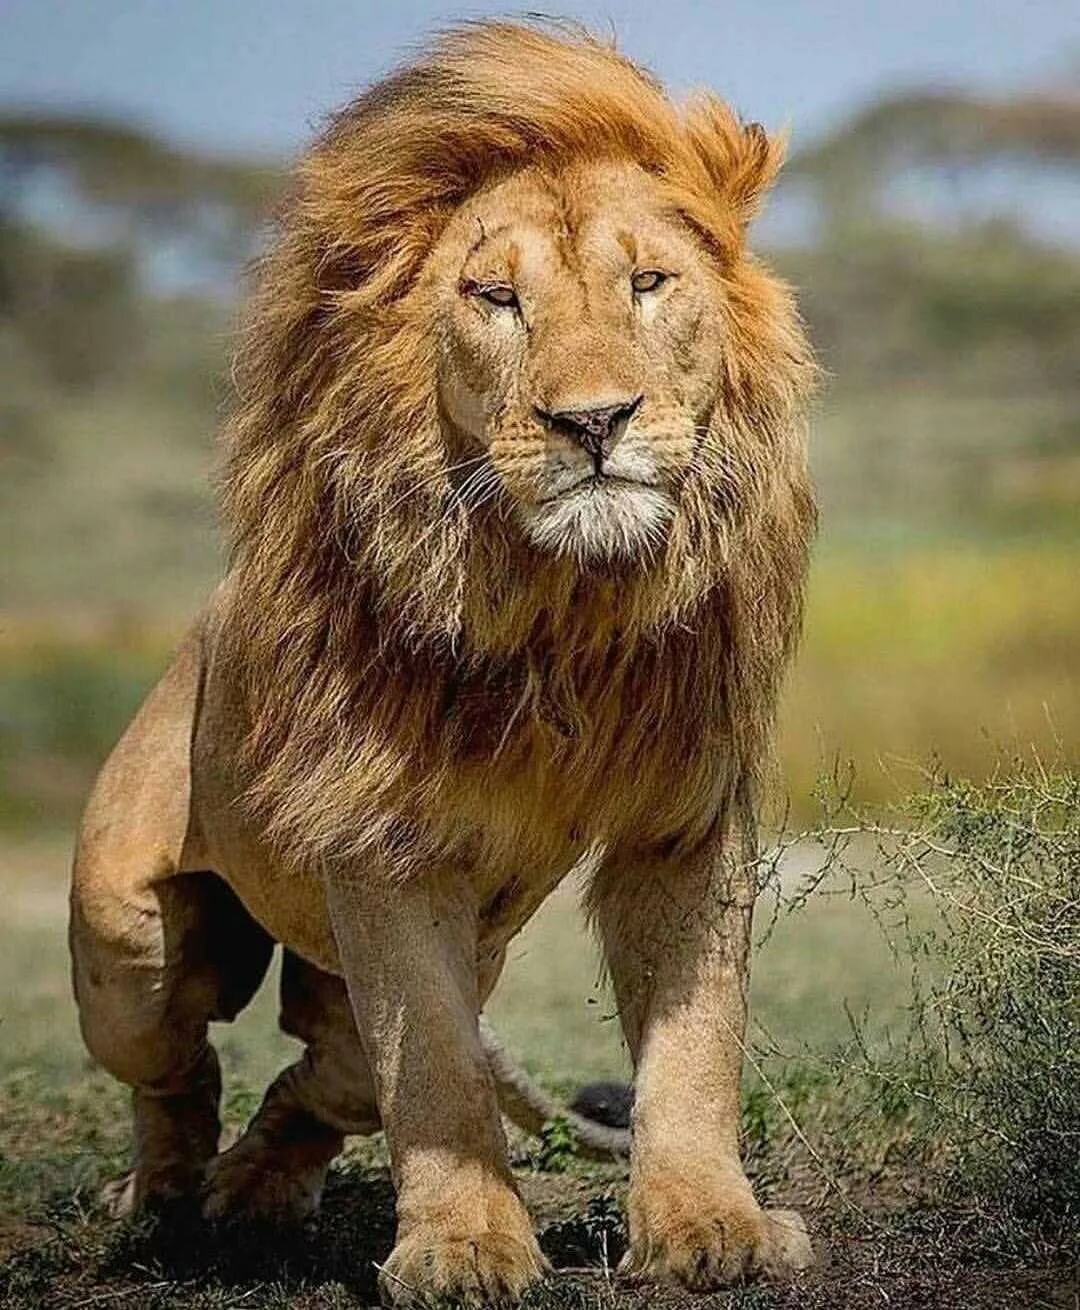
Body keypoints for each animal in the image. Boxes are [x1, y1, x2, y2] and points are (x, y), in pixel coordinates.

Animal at [70, 19, 816, 1305]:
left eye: (649, 283)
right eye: (497, 298)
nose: (594, 422)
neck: (564, 603)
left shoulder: (684, 817)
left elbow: (695, 1037)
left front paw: (711, 1222)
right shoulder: (385, 842)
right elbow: (434, 1069)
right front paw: (464, 1244)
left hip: (437, 952)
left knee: (321, 1074)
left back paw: (253, 1186)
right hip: (128, 943)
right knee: (186, 1065)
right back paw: (166, 1198)